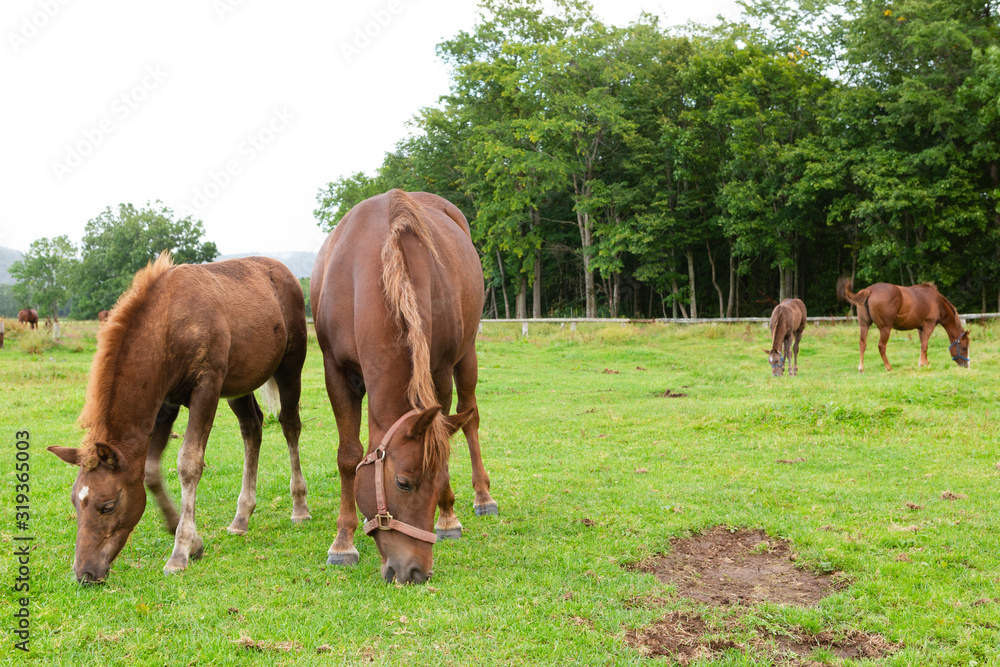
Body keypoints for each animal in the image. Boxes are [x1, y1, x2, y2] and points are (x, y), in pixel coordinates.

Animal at [47, 253, 311, 583]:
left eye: (107, 506)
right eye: (75, 502)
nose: (85, 572)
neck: (167, 325)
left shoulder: (207, 388)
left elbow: (189, 463)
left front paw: (180, 551)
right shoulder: (166, 402)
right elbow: (149, 469)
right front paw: (191, 540)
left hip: (290, 366)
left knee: (290, 424)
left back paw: (299, 506)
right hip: (240, 383)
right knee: (252, 428)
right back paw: (241, 517)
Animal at [311, 189, 498, 585]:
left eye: (437, 482)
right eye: (402, 483)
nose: (415, 571)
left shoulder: (438, 369)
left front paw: (448, 516)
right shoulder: (336, 371)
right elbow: (349, 455)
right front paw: (343, 540)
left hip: (467, 355)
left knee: (470, 418)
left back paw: (482, 497)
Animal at [837, 278, 970, 372]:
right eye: (964, 348)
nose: (966, 365)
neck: (937, 302)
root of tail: (869, 290)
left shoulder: (921, 328)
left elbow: (923, 345)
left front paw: (925, 363)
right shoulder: (929, 325)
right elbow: (925, 346)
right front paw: (922, 364)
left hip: (864, 325)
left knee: (862, 344)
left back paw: (861, 368)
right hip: (885, 328)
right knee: (881, 346)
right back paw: (889, 367)